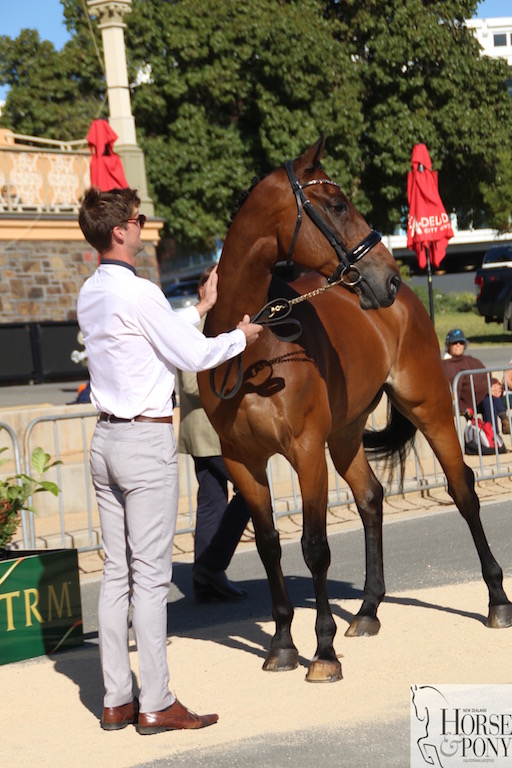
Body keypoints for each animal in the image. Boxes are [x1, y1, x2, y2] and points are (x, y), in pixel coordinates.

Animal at [197, 135, 512, 680]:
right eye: (338, 204)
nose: (387, 277)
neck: (252, 350)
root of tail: (410, 302)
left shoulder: (305, 452)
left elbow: (314, 547)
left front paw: (322, 653)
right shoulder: (243, 461)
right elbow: (268, 545)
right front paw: (282, 645)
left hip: (429, 406)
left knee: (462, 489)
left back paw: (496, 600)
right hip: (344, 437)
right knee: (370, 497)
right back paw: (367, 610)